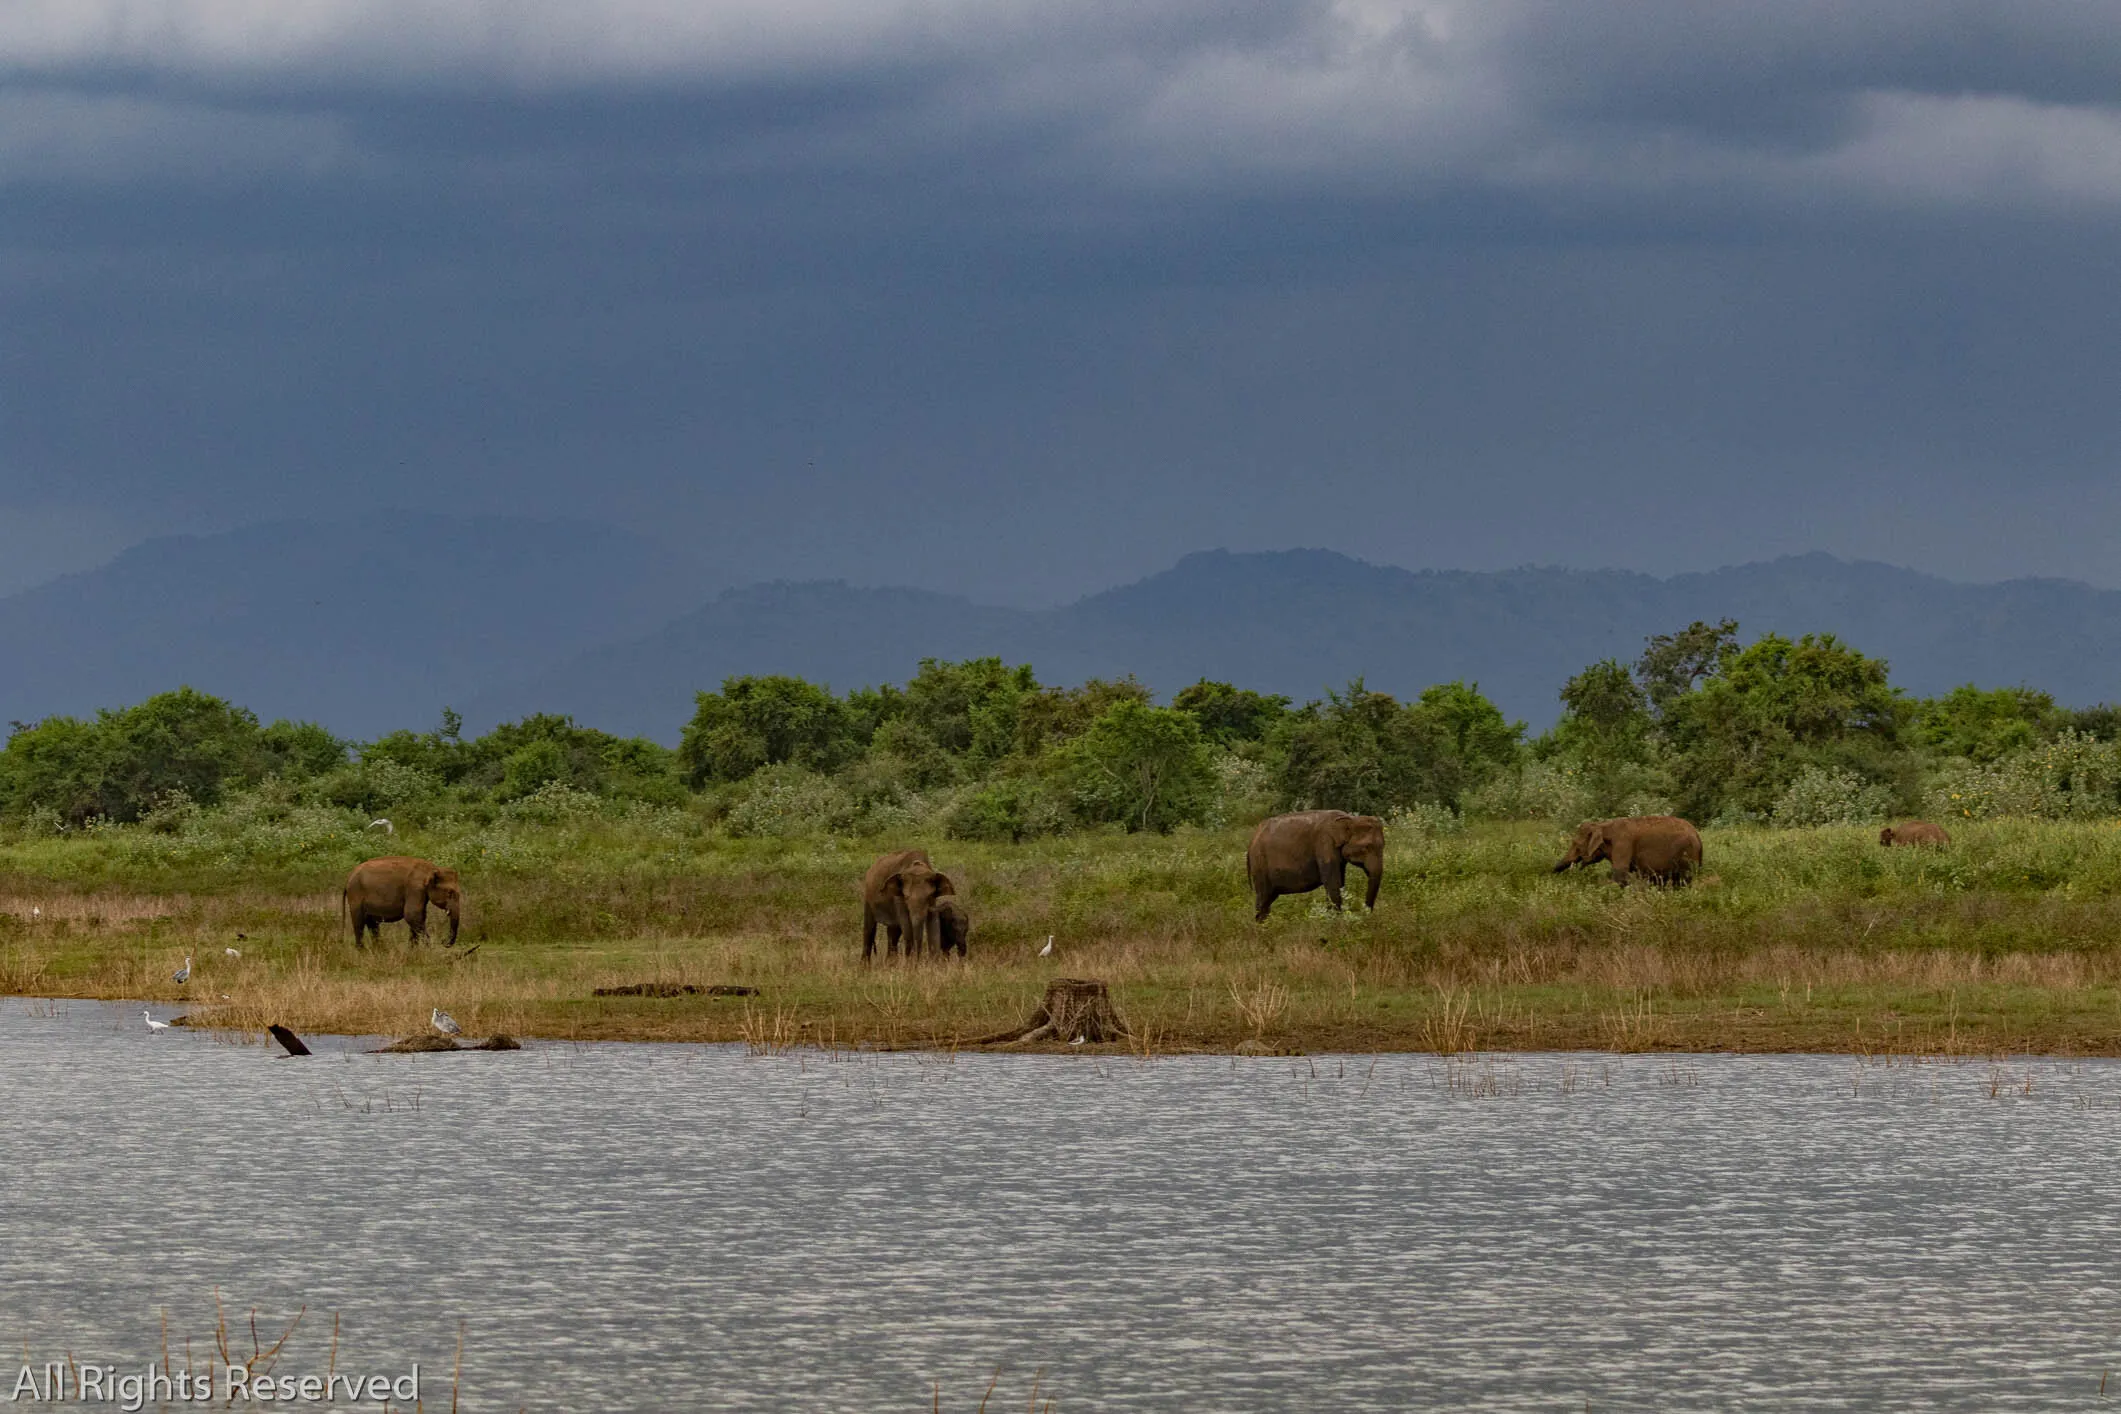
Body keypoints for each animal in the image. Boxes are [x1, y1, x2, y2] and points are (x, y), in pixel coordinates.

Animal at [1246, 810, 1385, 922]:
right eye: (1367, 847)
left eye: (1383, 846)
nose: (1365, 915)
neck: (1349, 819)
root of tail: (1252, 840)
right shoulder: (1324, 844)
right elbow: (1332, 883)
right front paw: (1335, 922)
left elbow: (1339, 882)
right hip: (1260, 864)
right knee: (1263, 899)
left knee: (1268, 899)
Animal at [1553, 816, 1702, 887]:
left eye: (1576, 844)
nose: (1551, 872)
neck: (1603, 825)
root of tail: (1697, 835)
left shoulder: (1623, 843)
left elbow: (1620, 875)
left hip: (1687, 855)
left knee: (1683, 880)